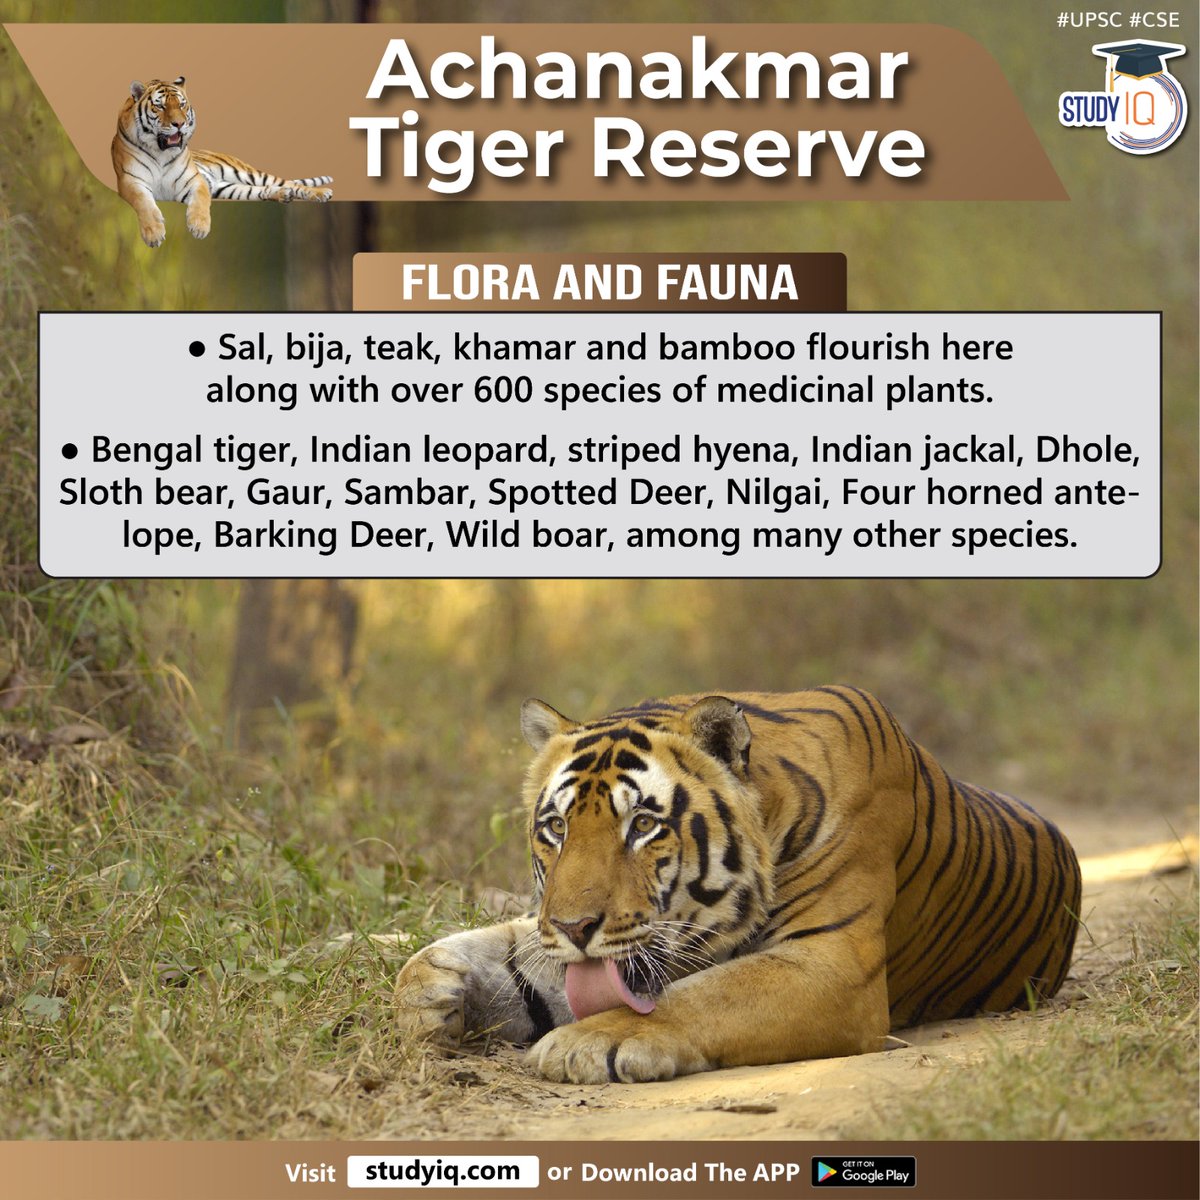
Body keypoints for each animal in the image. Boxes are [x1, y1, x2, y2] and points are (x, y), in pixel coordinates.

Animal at [112, 77, 333, 248]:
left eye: (181, 104)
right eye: (160, 105)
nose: (179, 124)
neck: (161, 152)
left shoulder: (195, 181)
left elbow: (201, 201)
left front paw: (199, 227)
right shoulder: (130, 181)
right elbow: (145, 204)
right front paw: (154, 234)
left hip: (247, 173)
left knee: (290, 183)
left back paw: (321, 193)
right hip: (228, 188)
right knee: (263, 190)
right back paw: (282, 194)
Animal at [394, 688, 1081, 1084]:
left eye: (642, 825)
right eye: (557, 828)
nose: (574, 927)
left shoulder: (832, 965)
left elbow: (704, 996)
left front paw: (588, 1042)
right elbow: (497, 954)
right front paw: (427, 994)